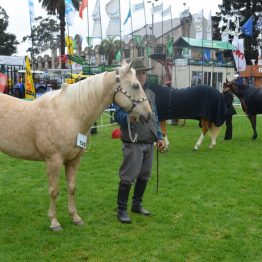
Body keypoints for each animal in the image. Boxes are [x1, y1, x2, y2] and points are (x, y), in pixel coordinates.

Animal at [0, 60, 151, 230]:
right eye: (136, 86)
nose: (148, 114)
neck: (71, 114)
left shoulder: (74, 160)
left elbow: (72, 188)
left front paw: (75, 217)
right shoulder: (53, 160)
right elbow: (54, 190)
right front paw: (54, 222)